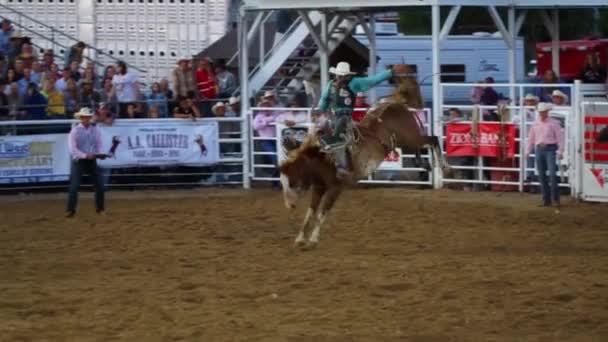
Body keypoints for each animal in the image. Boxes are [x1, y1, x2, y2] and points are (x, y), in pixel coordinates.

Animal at [278, 66, 448, 248]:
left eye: (292, 181)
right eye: (282, 182)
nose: (289, 205)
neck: (321, 158)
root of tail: (395, 102)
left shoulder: (335, 188)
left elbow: (322, 213)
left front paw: (313, 239)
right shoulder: (318, 188)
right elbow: (310, 212)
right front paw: (300, 238)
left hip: (410, 136)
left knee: (433, 139)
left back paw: (444, 167)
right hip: (404, 141)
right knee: (421, 146)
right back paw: (424, 164)